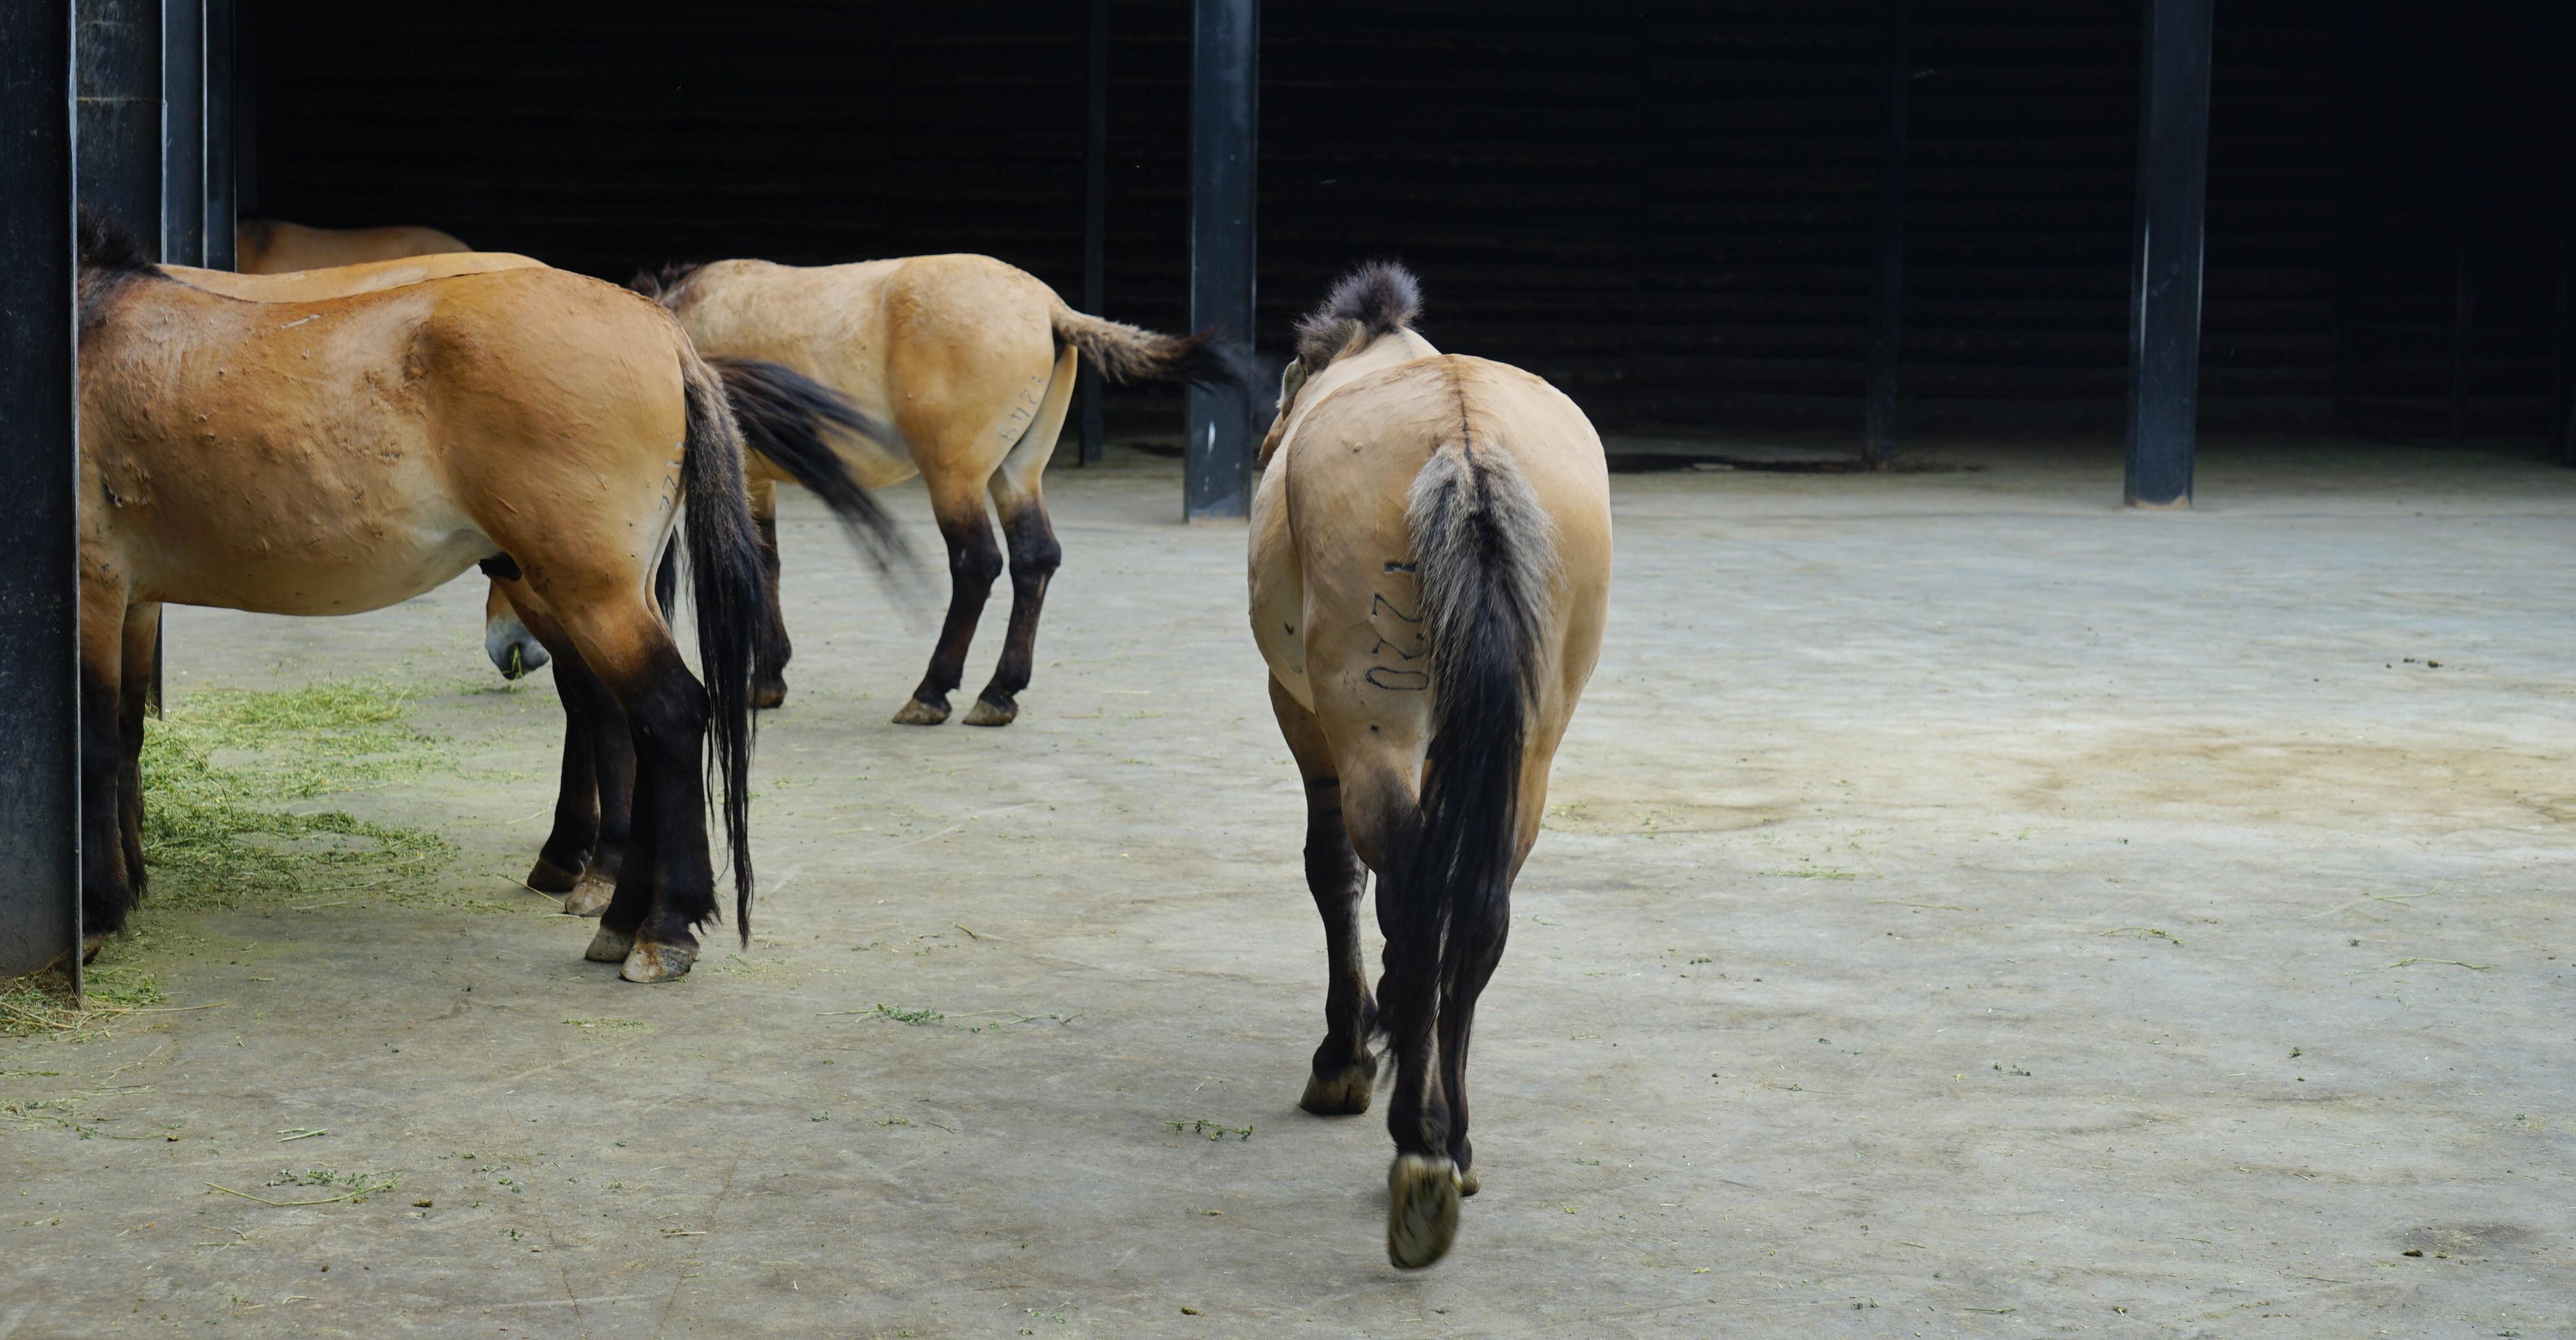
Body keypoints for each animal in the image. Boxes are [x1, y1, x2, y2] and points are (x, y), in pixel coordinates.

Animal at [78, 220, 824, 984]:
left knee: (665, 714)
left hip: (589, 591)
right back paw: (620, 914)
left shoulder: (95, 585)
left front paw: (97, 913)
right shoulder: (136, 601)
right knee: (633, 718)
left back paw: (660, 927)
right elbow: (129, 734)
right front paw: (132, 883)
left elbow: (96, 744)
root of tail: (662, 330)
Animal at [510, 250, 1226, 721]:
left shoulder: (745, 475)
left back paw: (933, 691)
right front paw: (772, 672)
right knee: (1035, 559)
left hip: (956, 478)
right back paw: (999, 691)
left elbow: (758, 562)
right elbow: (769, 562)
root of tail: (1049, 308)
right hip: (1015, 474)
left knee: (977, 564)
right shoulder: (761, 478)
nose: (516, 654)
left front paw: (763, 678)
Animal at [1247, 266, 1607, 1273]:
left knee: (1406, 887)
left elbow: (1334, 872)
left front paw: (1347, 1053)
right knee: (1480, 909)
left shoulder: (1301, 714)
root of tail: (1465, 442)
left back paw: (1415, 1140)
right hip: (1531, 740)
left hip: (1369, 717)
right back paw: (1456, 1140)